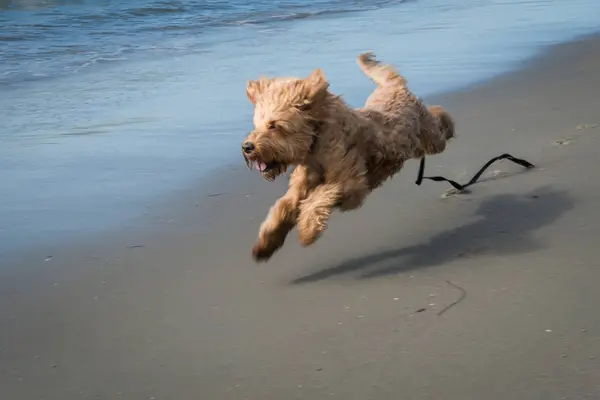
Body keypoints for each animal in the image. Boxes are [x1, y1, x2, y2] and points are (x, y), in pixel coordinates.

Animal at [241, 51, 452, 260]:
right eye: (257, 125)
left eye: (274, 125)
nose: (247, 147)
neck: (316, 141)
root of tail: (393, 87)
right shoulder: (300, 187)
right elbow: (284, 207)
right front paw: (266, 243)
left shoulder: (351, 183)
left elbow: (319, 197)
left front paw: (308, 230)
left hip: (430, 137)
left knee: (438, 115)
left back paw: (449, 125)